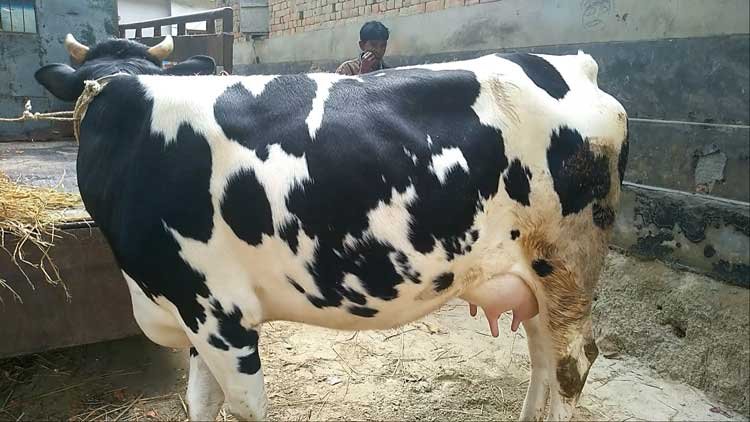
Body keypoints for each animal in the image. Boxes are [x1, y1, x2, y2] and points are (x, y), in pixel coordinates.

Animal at [35, 34, 629, 421]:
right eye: (81, 87)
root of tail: (570, 63)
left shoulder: (221, 316)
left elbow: (244, 409)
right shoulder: (192, 313)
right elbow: (200, 403)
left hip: (568, 263)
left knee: (571, 363)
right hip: (533, 272)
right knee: (542, 355)